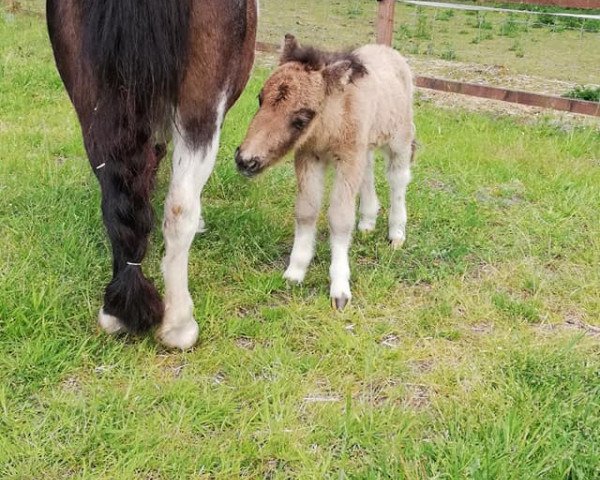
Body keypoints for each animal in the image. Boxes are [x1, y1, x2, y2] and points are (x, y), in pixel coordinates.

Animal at [45, 0, 255, 346]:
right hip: (202, 103)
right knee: (180, 207)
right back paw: (179, 325)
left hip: (91, 97)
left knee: (115, 195)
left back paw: (115, 315)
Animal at [237, 36, 414, 308]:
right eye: (260, 98)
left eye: (301, 119)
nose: (246, 161)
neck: (329, 127)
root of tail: (387, 50)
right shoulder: (310, 156)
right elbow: (306, 211)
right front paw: (295, 272)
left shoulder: (348, 157)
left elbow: (340, 218)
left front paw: (340, 289)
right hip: (365, 144)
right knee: (368, 169)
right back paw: (367, 222)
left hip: (399, 137)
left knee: (398, 179)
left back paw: (396, 234)